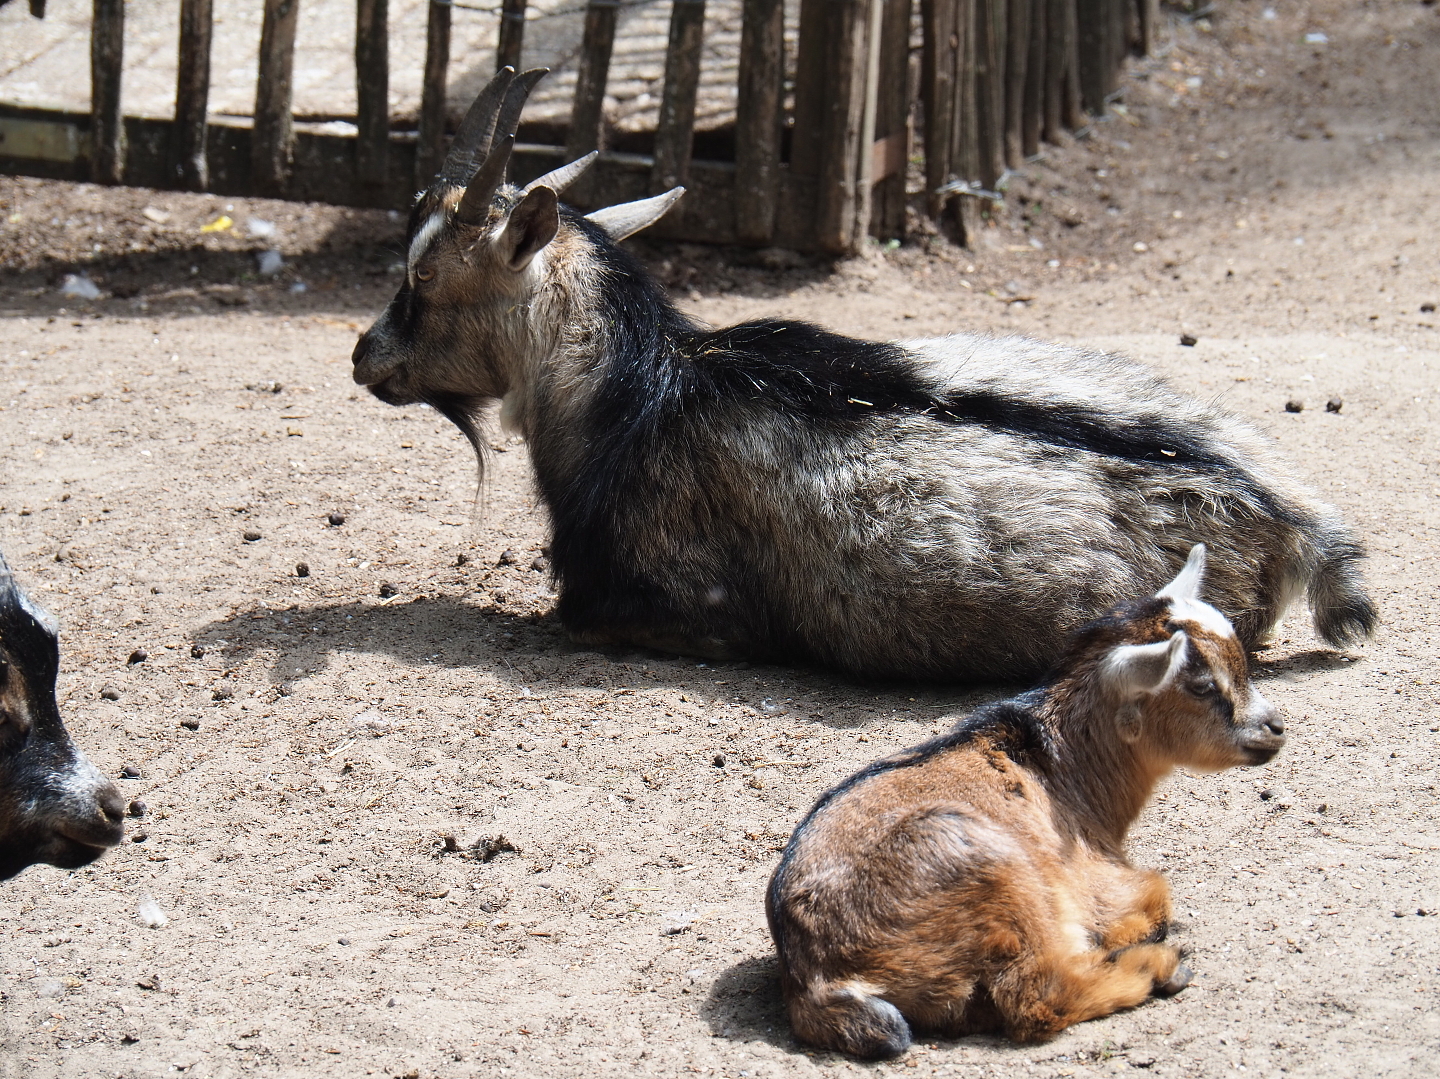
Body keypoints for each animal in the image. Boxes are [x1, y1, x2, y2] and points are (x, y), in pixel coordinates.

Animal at [765, 545, 1285, 1057]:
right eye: (1202, 685)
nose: (1275, 727)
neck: (1061, 769)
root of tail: (815, 982)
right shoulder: (1095, 884)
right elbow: (1156, 894)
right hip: (985, 863)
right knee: (1038, 996)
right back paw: (1156, 967)